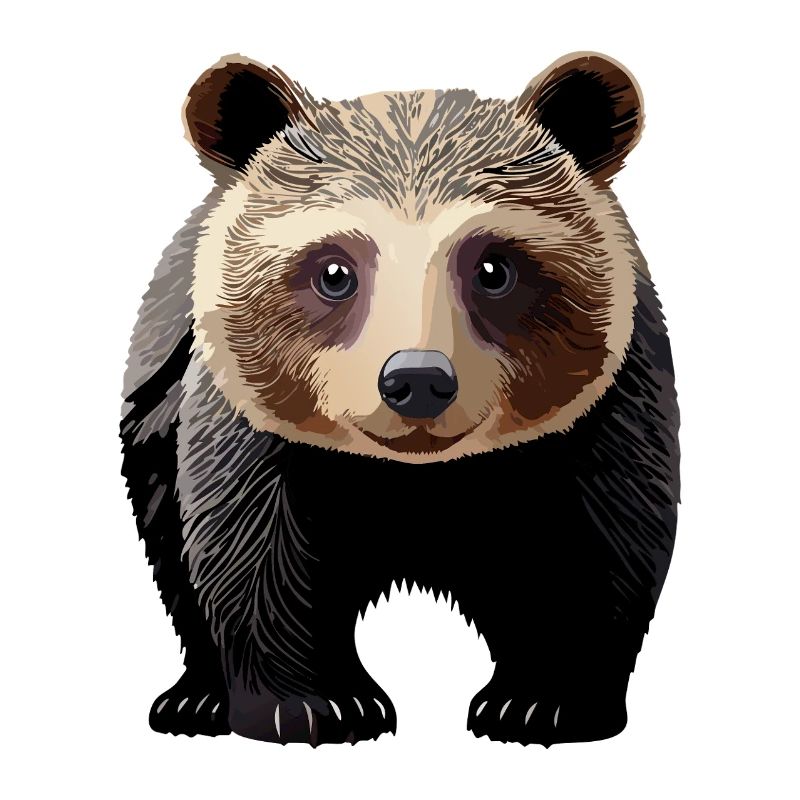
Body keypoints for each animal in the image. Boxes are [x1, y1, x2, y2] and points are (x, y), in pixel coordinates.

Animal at [120, 51, 680, 747]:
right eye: (333, 271)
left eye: (494, 267)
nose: (417, 380)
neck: (415, 475)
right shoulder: (248, 421)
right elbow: (252, 548)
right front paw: (316, 704)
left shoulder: (602, 411)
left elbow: (597, 544)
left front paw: (541, 701)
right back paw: (194, 699)